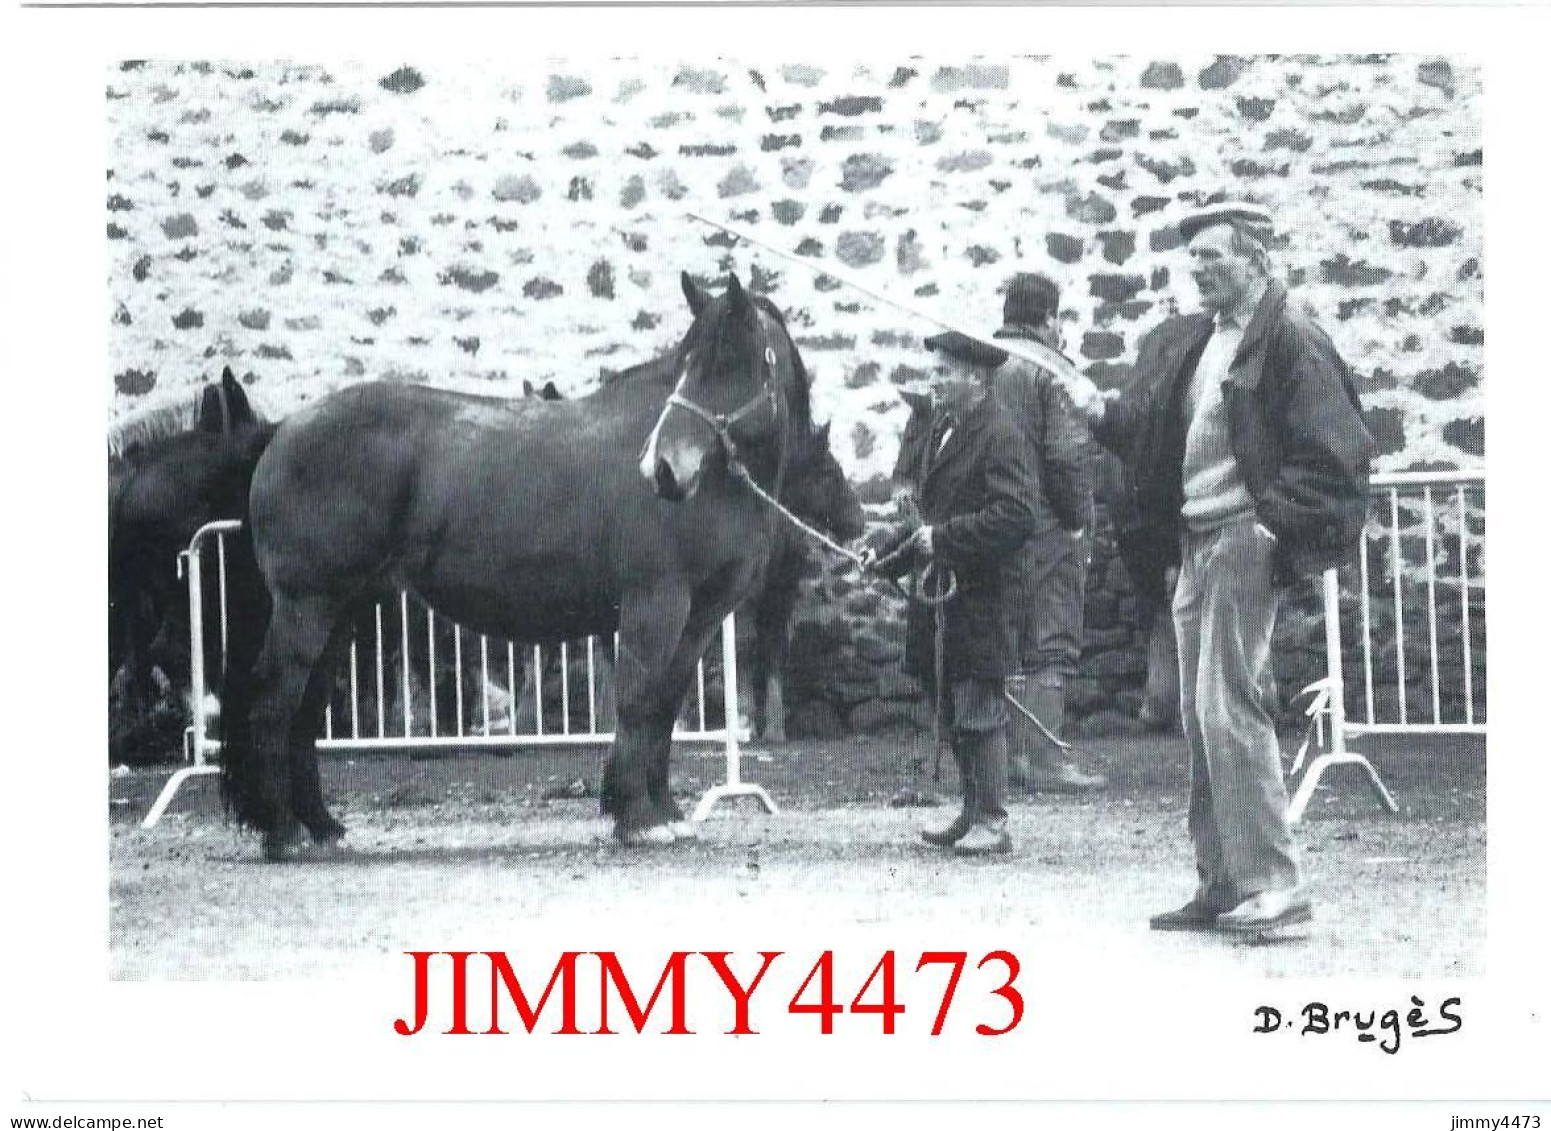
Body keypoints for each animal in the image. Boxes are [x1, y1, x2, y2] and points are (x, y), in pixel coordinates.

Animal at [223, 273, 825, 856]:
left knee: (305, 710)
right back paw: (282, 832)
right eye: (687, 364)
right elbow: (637, 702)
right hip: (308, 605)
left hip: (342, 611)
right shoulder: (655, 604)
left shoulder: (699, 620)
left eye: (730, 364)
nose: (663, 469)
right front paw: (636, 818)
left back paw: (322, 826)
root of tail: (283, 430)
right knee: (275, 703)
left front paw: (665, 815)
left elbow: (664, 707)